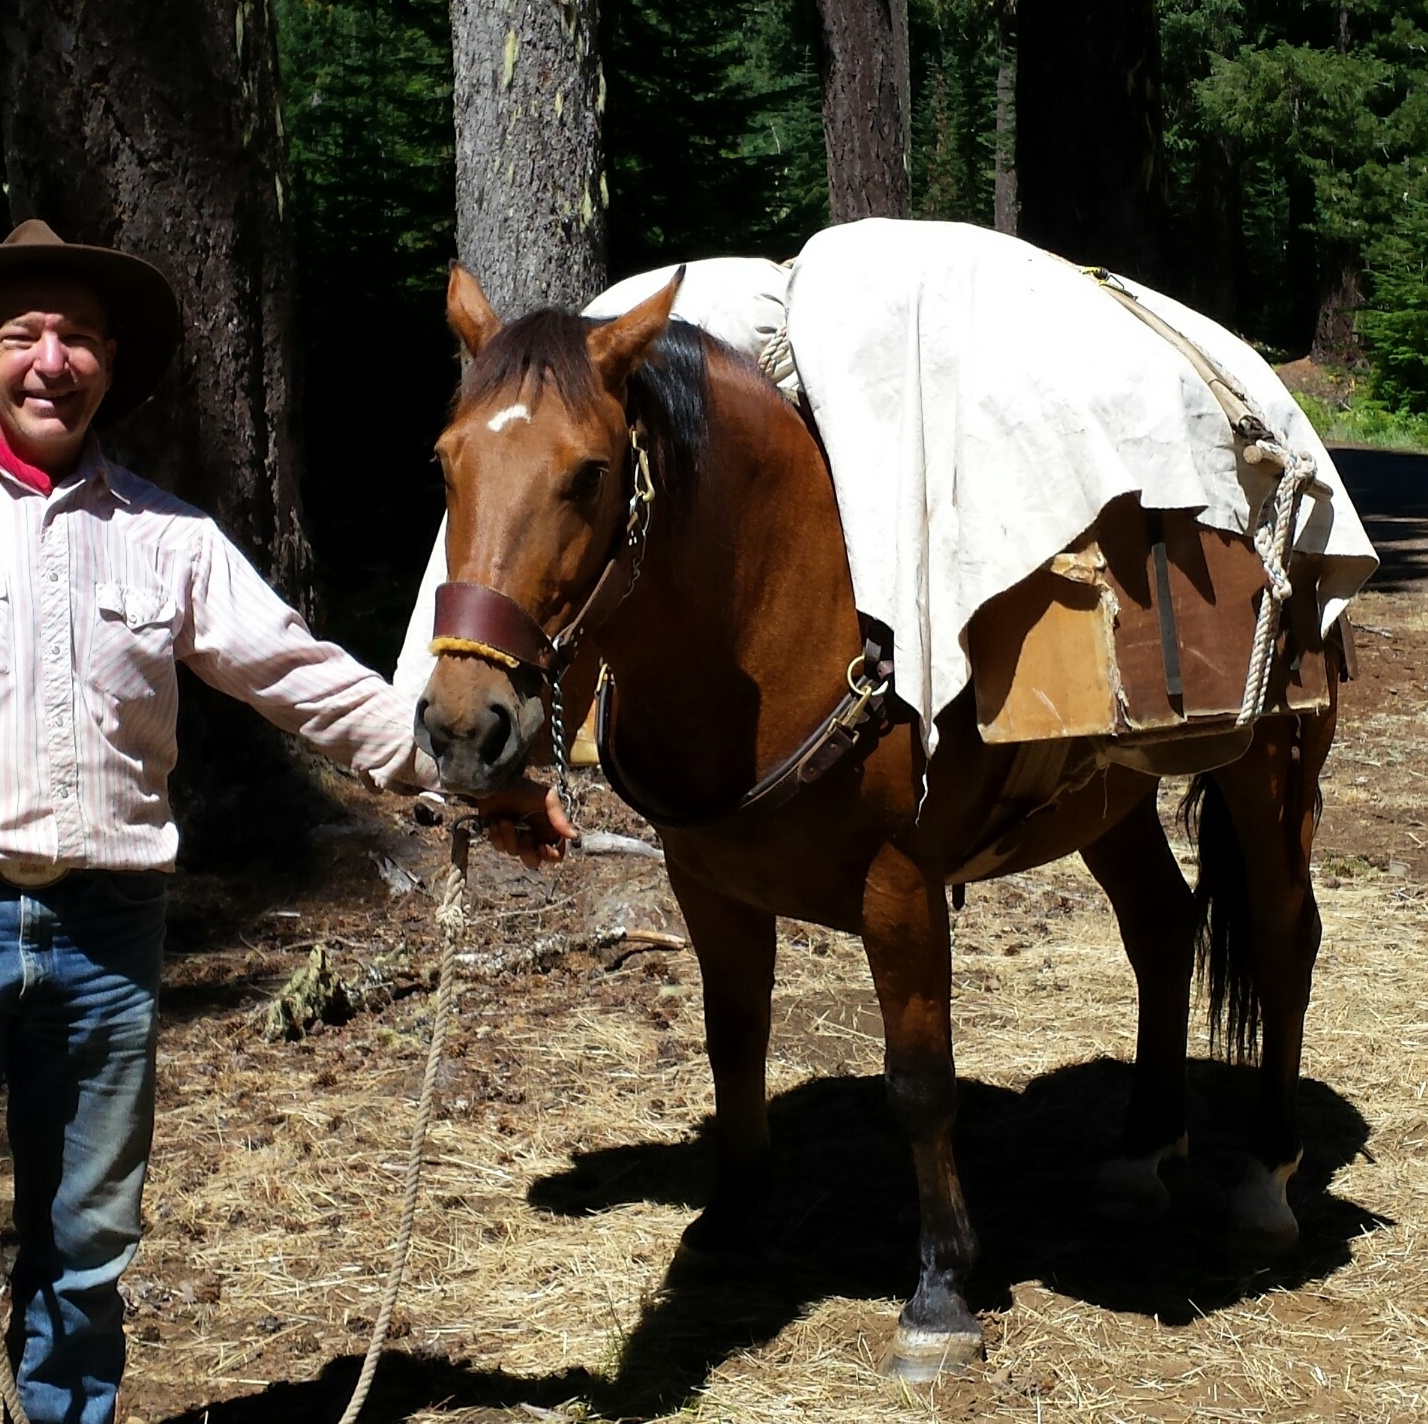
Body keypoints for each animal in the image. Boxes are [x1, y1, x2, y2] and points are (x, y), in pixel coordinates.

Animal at [414, 266, 1341, 1381]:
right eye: (445, 462)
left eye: (589, 474)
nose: (465, 726)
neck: (788, 620)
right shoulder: (707, 885)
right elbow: (735, 1041)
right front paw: (733, 1216)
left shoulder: (901, 887)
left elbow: (920, 1083)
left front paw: (939, 1294)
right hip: (1105, 802)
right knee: (1161, 927)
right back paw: (1139, 1154)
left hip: (1274, 767)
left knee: (1286, 942)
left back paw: (1264, 1181)